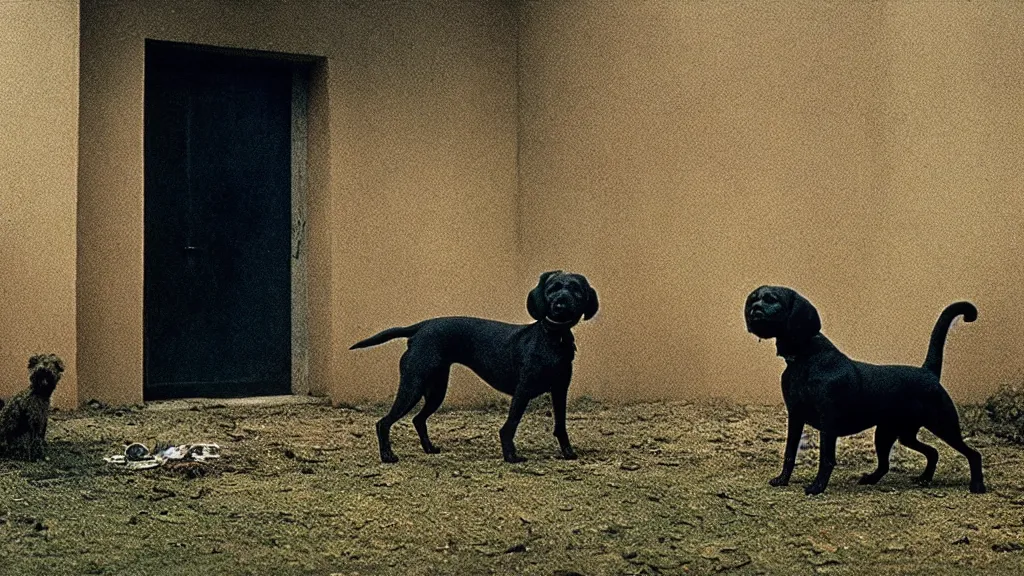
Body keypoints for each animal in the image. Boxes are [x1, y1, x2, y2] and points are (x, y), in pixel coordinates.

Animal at [350, 268, 598, 461]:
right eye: (552, 289)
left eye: (576, 290)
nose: (560, 303)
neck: (553, 338)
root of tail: (421, 327)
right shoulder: (523, 391)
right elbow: (511, 425)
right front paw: (511, 456)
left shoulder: (560, 391)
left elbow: (561, 426)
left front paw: (568, 453)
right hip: (413, 387)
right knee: (383, 422)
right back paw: (387, 456)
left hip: (436, 390)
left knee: (418, 420)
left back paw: (429, 449)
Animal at [745, 284, 983, 494]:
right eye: (754, 298)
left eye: (771, 299)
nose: (753, 309)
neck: (805, 358)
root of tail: (929, 372)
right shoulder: (795, 416)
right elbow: (789, 453)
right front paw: (782, 480)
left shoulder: (828, 423)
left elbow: (826, 459)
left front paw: (817, 487)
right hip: (893, 434)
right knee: (918, 456)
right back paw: (914, 478)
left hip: (943, 425)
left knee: (973, 454)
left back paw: (977, 486)